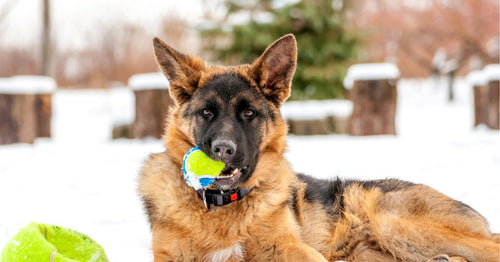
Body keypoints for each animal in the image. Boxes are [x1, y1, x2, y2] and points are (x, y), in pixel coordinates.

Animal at [138, 33, 500, 260]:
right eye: (207, 112)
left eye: (249, 114)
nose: (223, 150)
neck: (224, 207)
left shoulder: (292, 248)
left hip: (394, 222)